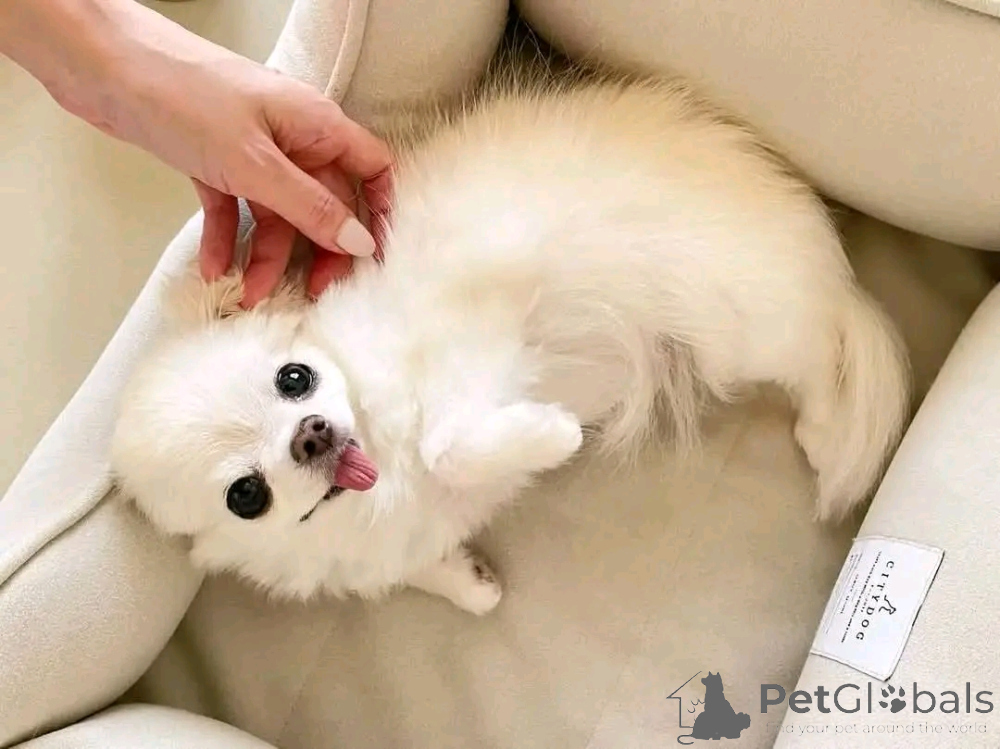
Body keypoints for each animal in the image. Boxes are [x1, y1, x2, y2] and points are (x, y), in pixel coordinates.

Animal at [110, 72, 910, 615]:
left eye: (295, 378)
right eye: (246, 495)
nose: (311, 434)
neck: (382, 470)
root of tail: (829, 267)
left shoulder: (476, 341)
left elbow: (452, 441)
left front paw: (550, 435)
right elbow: (436, 569)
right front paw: (475, 584)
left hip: (738, 330)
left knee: (819, 353)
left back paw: (822, 433)